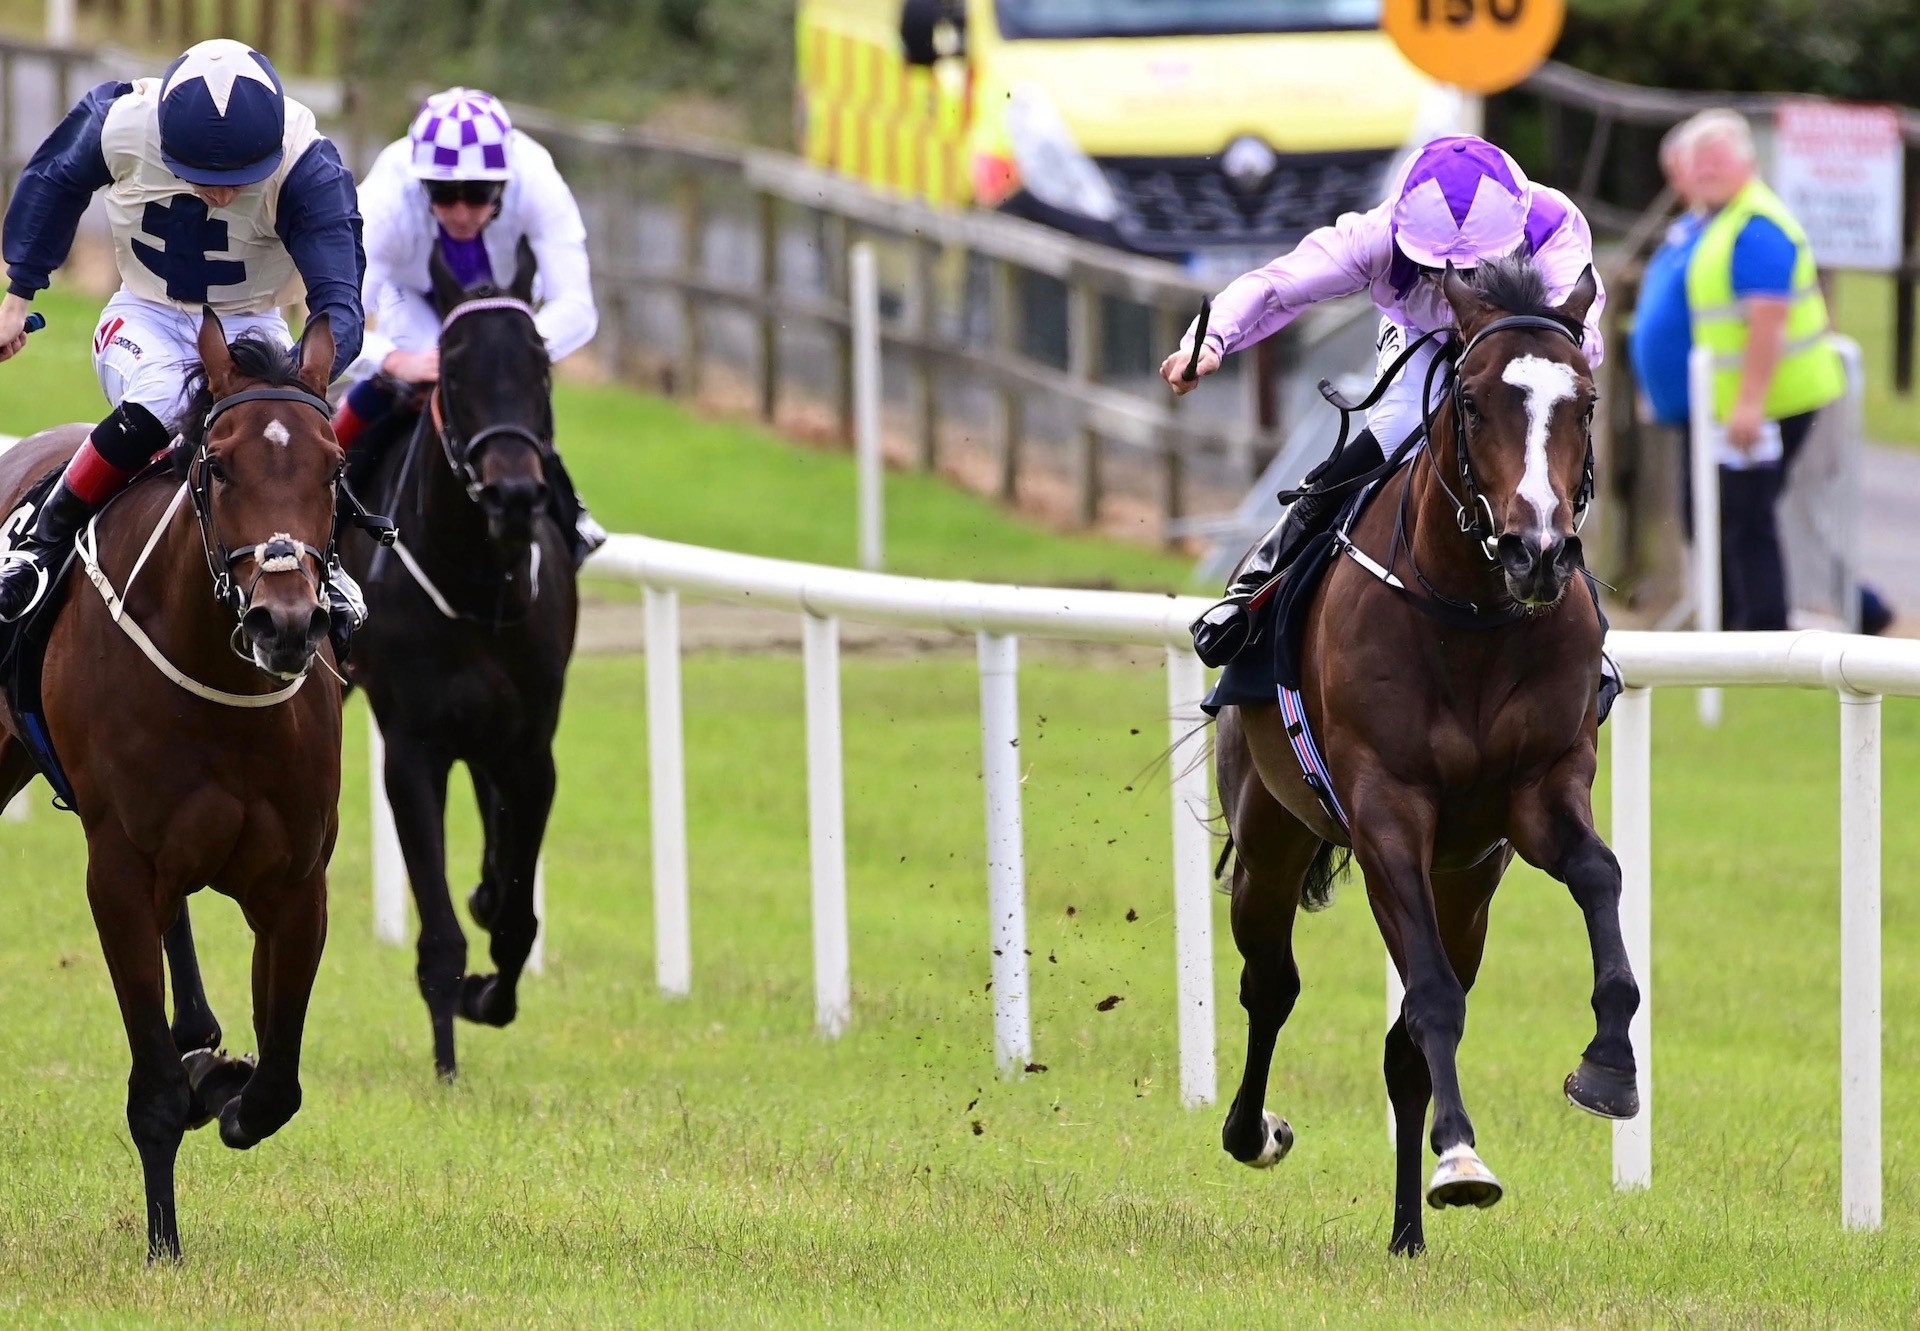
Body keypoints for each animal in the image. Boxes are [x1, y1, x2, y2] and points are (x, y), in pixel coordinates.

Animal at [0, 309, 345, 1259]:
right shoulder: (118, 868)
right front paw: (164, 1244)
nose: (285, 623)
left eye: (334, 465)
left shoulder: (297, 882)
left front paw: (223, 1090)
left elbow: (280, 1083)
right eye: (218, 463)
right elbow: (151, 1086)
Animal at [341, 239, 576, 1083]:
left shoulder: (532, 748)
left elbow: (516, 917)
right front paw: (447, 1061)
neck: (478, 584)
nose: (513, 495)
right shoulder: (414, 747)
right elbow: (441, 932)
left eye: (541, 366)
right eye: (454, 372)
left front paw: (488, 991)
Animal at [1221, 257, 1643, 1259]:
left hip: (1467, 885)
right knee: (1272, 983)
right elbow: (1435, 1001)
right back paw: (1255, 1131)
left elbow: (1599, 875)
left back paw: (1407, 1234)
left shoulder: (1540, 790)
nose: (1538, 551)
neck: (1471, 619)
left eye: (1587, 401)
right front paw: (1462, 1155)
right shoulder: (1386, 812)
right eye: (1475, 400)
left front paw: (1609, 1064)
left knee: (1401, 1044)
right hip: (1272, 834)